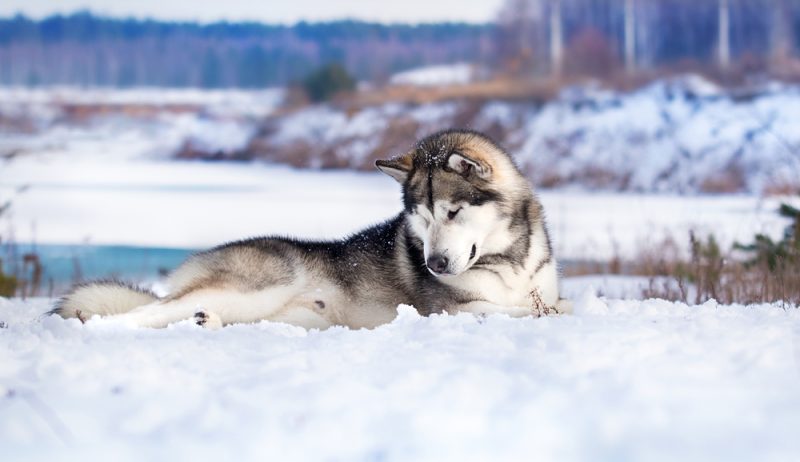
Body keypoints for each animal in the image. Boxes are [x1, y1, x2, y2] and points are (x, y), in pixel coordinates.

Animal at [53, 128, 564, 326]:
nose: (434, 264)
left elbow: (550, 304)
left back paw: (205, 322)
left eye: (452, 213)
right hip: (257, 283)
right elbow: (525, 311)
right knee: (142, 312)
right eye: (420, 218)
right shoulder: (451, 310)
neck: (511, 259)